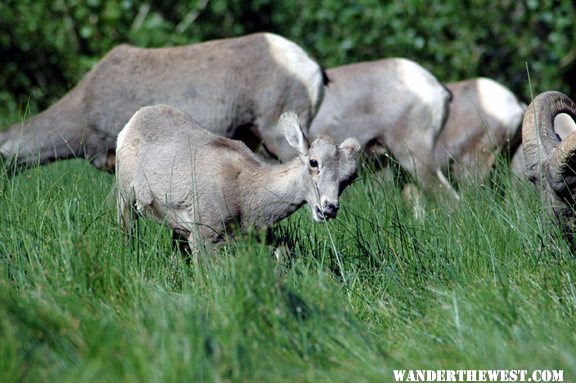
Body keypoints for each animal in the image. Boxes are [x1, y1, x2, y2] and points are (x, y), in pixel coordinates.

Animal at [116, 106, 360, 254]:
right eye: (313, 162)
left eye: (350, 178)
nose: (328, 208)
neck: (246, 193)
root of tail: (134, 120)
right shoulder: (204, 237)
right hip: (125, 199)